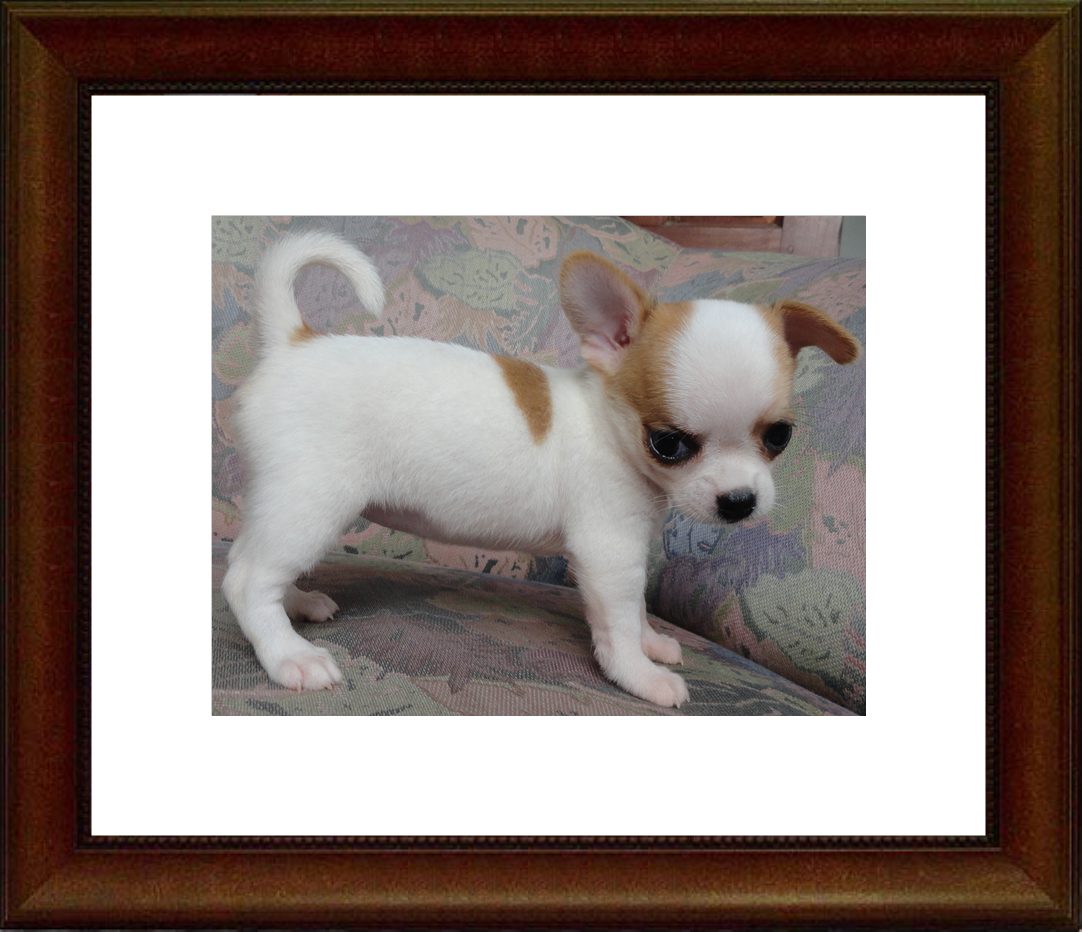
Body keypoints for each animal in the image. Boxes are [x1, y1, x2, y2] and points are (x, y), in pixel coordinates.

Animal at [222, 230, 859, 707]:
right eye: (668, 444)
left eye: (779, 437)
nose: (739, 501)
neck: (605, 420)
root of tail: (294, 342)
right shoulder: (608, 555)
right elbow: (617, 624)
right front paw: (641, 675)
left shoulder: (625, 552)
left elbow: (636, 612)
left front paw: (652, 643)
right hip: (313, 502)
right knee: (245, 579)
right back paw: (289, 657)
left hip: (285, 503)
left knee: (253, 560)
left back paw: (298, 605)